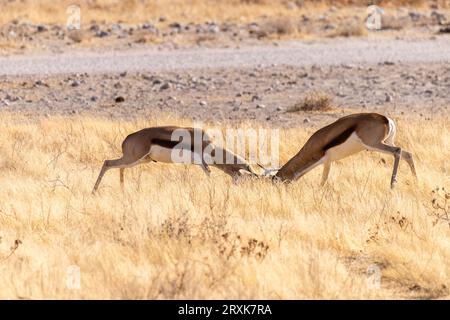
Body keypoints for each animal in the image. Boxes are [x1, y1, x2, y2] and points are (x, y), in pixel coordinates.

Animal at [92, 126, 260, 194]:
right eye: (245, 176)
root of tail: (127, 138)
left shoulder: (200, 164)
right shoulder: (203, 163)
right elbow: (209, 175)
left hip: (140, 160)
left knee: (120, 167)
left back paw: (122, 190)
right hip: (133, 158)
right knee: (107, 163)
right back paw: (93, 191)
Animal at [274, 113, 418, 189]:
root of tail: (386, 119)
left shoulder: (327, 161)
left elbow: (323, 181)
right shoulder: (328, 161)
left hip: (375, 145)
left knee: (398, 151)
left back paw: (392, 184)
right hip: (387, 142)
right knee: (407, 154)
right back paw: (415, 180)